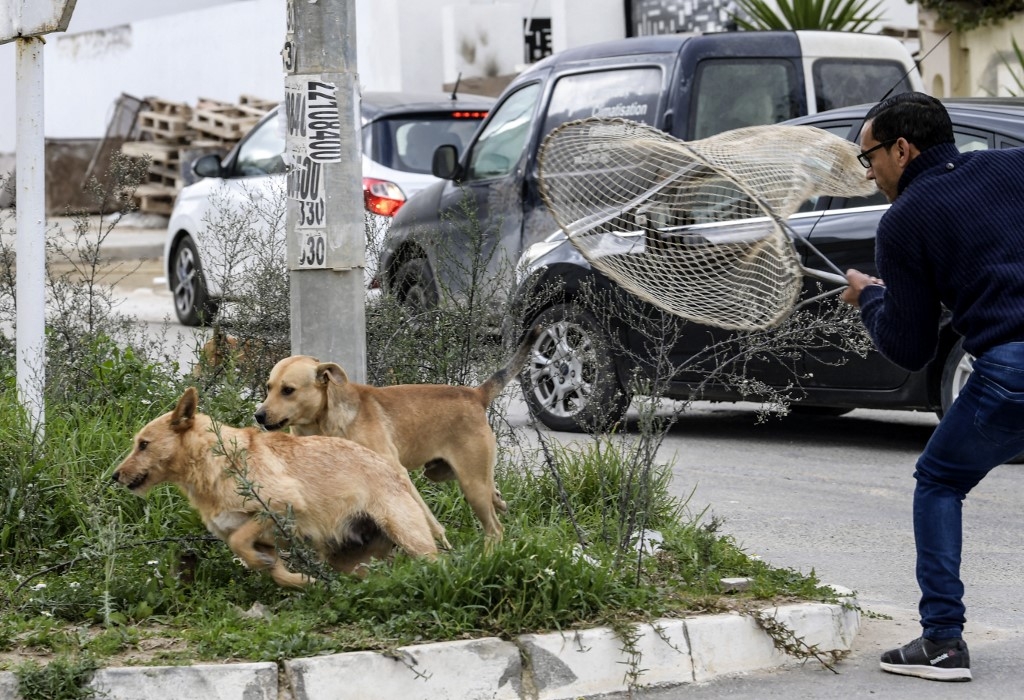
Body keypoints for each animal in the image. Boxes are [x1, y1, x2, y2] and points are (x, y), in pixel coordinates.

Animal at [111, 384, 436, 589]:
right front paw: (306, 583)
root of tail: (393, 470)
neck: (216, 462)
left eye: (143, 445)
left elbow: (239, 541)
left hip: (409, 536)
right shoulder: (265, 539)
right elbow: (271, 568)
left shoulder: (280, 506)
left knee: (437, 562)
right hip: (352, 560)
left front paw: (265, 565)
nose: (114, 476)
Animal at [253, 325, 544, 544]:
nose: (259, 415)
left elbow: (425, 520)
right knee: (493, 493)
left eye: (288, 390)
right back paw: (499, 502)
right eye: (268, 387)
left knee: (494, 529)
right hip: (449, 474)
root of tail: (475, 394)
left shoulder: (395, 472)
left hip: (471, 484)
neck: (325, 422)